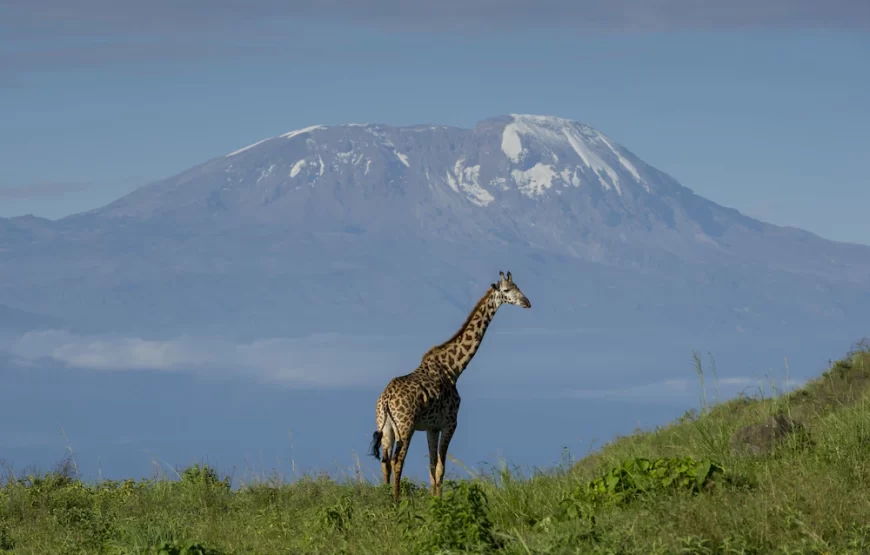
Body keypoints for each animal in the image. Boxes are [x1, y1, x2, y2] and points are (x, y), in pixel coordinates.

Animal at [368, 270, 532, 504]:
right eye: (507, 290)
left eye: (518, 286)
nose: (527, 302)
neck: (453, 369)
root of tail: (386, 400)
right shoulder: (450, 423)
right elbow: (441, 468)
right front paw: (439, 502)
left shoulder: (432, 427)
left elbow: (431, 466)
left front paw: (433, 500)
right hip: (405, 426)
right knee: (397, 461)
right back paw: (397, 501)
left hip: (386, 426)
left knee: (385, 463)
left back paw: (386, 498)